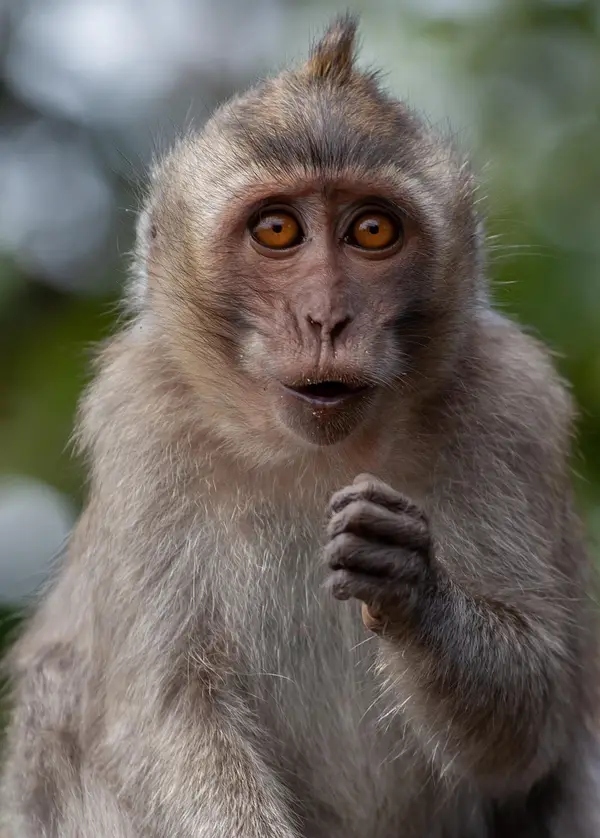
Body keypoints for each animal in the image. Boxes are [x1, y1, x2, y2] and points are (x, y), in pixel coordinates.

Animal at [1, 12, 599, 838]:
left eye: (372, 231)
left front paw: (414, 588)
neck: (317, 454)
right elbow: (168, 713)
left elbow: (534, 721)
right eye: (279, 230)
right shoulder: (141, 419)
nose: (325, 317)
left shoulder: (513, 404)